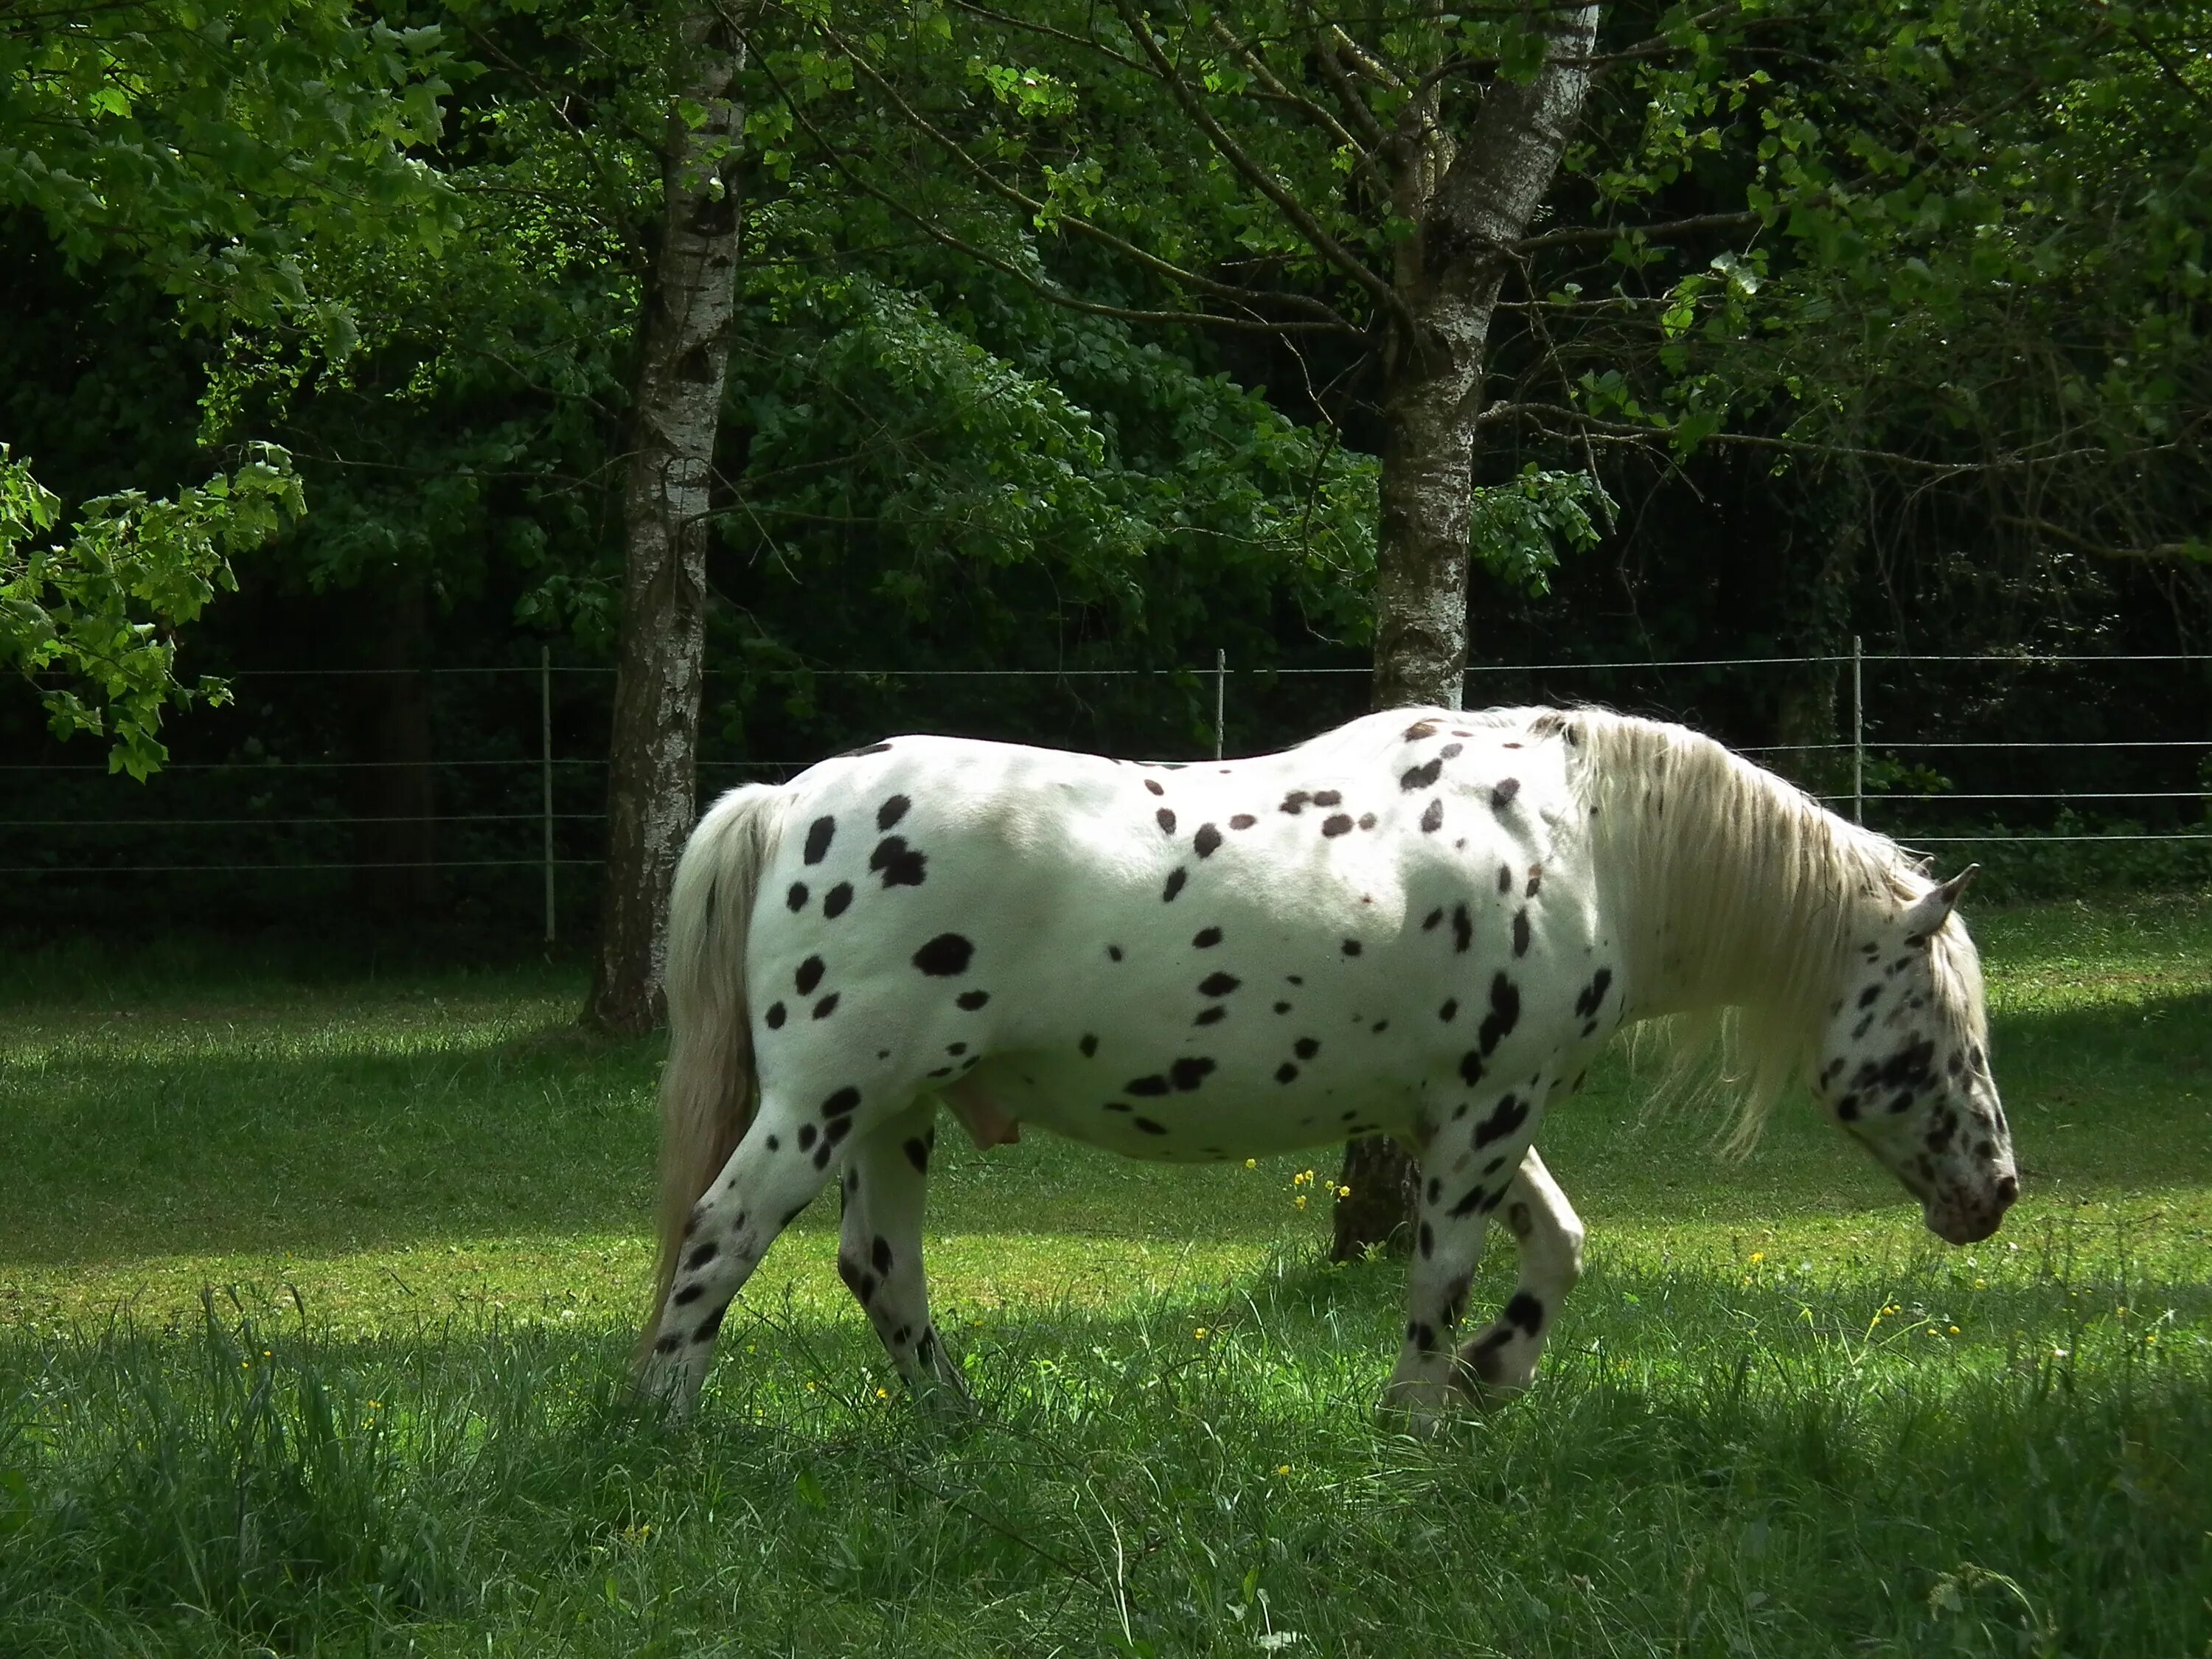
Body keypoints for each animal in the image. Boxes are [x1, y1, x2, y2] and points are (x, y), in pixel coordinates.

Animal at [641, 703, 2026, 1433]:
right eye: (1940, 1038)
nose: (1996, 1192)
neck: (1585, 838)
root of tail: (795, 798)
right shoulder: (1486, 1113)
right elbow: (1445, 1273)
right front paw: (1418, 1413)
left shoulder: (1459, 1114)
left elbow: (1558, 1246)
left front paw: (1493, 1375)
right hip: (822, 1105)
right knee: (721, 1234)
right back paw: (664, 1427)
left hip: (893, 1114)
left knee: (881, 1270)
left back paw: (965, 1427)